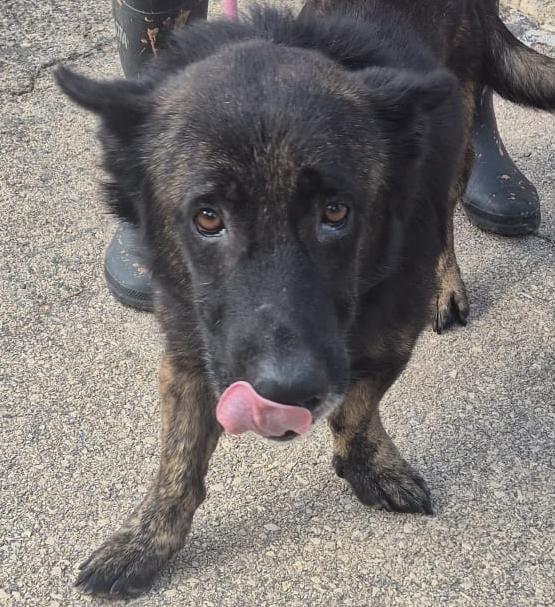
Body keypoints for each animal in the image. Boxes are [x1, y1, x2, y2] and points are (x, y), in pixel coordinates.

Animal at [56, 0, 555, 597]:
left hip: (457, 139)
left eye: (335, 212)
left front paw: (368, 466)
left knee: (450, 211)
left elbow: (358, 407)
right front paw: (147, 539)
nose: (284, 391)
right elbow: (178, 460)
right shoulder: (189, 353)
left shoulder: (389, 335)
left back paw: (447, 282)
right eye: (207, 218)